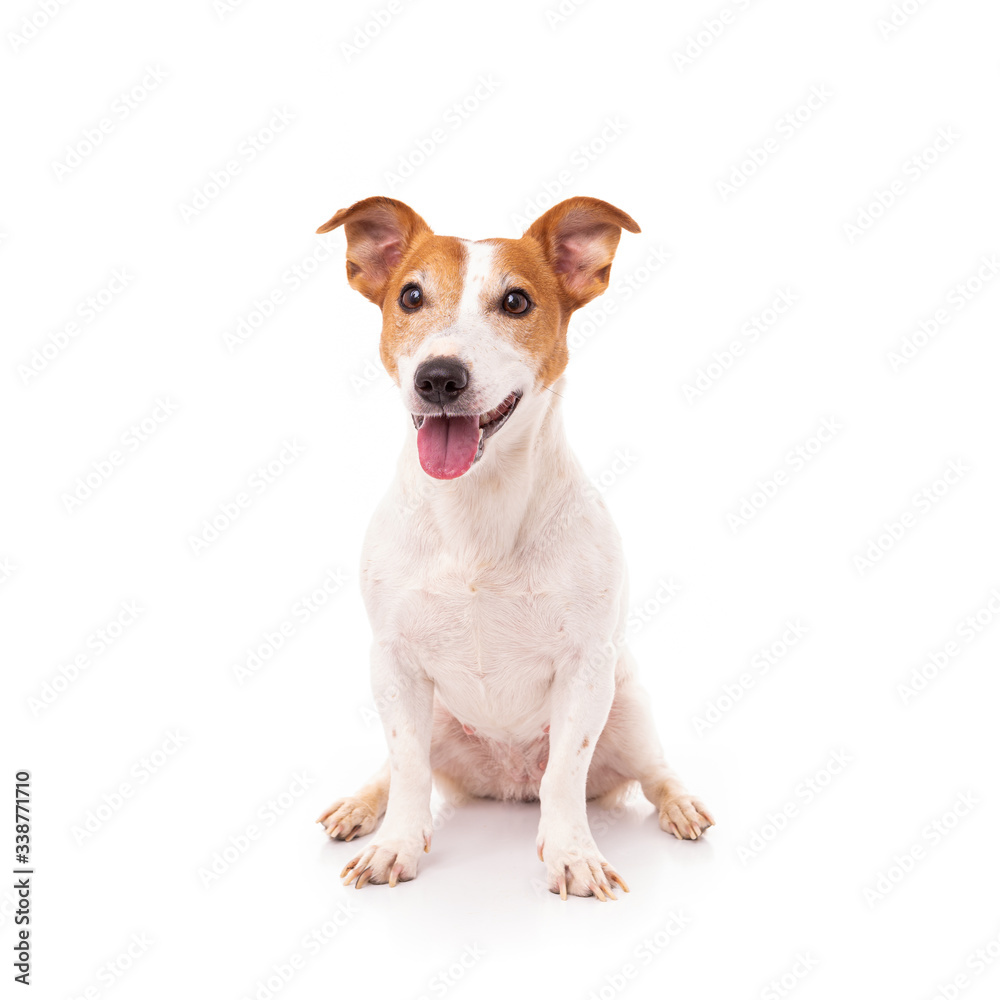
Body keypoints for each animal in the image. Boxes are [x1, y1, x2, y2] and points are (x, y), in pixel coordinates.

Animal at [316, 193, 716, 900]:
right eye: (411, 296)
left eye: (516, 302)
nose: (439, 377)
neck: (476, 510)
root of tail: (507, 782)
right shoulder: (392, 663)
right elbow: (408, 768)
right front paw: (395, 845)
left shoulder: (586, 667)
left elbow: (566, 775)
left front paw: (573, 855)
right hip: (436, 716)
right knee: (399, 767)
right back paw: (362, 805)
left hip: (628, 705)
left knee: (652, 769)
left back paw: (679, 804)